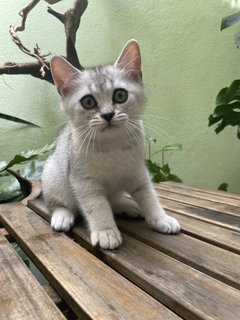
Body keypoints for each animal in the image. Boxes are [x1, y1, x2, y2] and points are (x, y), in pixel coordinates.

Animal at [41, 39, 180, 250]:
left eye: (120, 95)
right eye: (88, 101)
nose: (108, 114)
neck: (112, 146)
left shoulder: (138, 173)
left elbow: (149, 196)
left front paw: (161, 218)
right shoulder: (84, 182)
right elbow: (97, 206)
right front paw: (105, 231)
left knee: (113, 201)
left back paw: (127, 205)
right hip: (52, 176)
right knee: (58, 203)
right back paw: (62, 216)